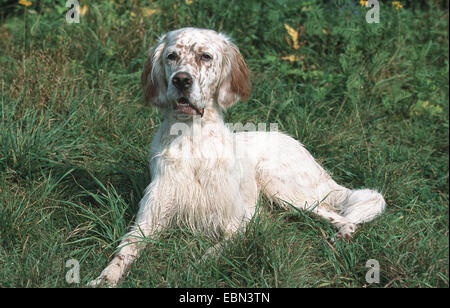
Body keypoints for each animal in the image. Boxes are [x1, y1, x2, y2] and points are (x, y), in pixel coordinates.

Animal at [89, 27, 386, 288]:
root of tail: (302, 148)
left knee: (341, 216)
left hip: (281, 185)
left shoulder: (240, 221)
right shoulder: (148, 219)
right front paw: (105, 278)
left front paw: (196, 266)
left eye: (205, 56)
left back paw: (342, 236)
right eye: (171, 56)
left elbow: (213, 251)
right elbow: (123, 252)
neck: (191, 139)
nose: (181, 80)